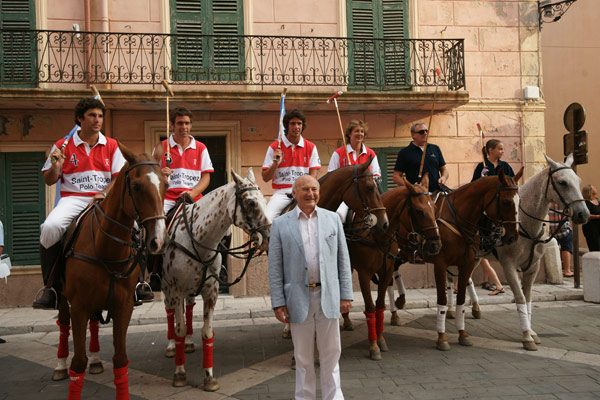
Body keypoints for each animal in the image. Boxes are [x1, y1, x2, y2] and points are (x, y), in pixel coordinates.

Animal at [54, 145, 168, 400]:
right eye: (136, 186)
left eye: (166, 184)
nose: (158, 241)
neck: (106, 249)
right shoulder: (78, 306)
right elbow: (78, 363)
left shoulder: (123, 306)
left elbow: (120, 360)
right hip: (64, 299)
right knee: (63, 325)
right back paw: (59, 365)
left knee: (94, 323)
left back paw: (96, 361)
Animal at [161, 167, 270, 390]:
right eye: (251, 203)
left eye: (264, 199)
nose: (267, 235)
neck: (197, 239)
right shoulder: (176, 289)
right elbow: (178, 328)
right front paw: (179, 373)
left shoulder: (211, 292)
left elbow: (207, 332)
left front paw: (209, 376)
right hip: (166, 287)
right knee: (169, 313)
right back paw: (171, 346)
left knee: (189, 307)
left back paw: (189, 343)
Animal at [340, 175, 442, 360]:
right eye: (419, 211)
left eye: (435, 208)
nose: (435, 245)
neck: (378, 234)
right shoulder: (364, 274)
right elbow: (370, 307)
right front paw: (373, 346)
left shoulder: (386, 271)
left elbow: (380, 305)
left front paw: (380, 339)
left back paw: (347, 320)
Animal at [428, 168, 524, 350]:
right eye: (506, 202)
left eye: (519, 201)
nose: (513, 237)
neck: (456, 217)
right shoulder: (440, 263)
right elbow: (441, 299)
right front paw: (442, 337)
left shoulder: (466, 261)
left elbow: (461, 296)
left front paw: (462, 333)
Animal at [494, 154, 588, 350]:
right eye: (562, 182)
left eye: (578, 180)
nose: (583, 214)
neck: (524, 222)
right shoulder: (508, 265)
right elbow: (520, 298)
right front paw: (526, 337)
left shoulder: (533, 266)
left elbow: (528, 298)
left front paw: (531, 332)